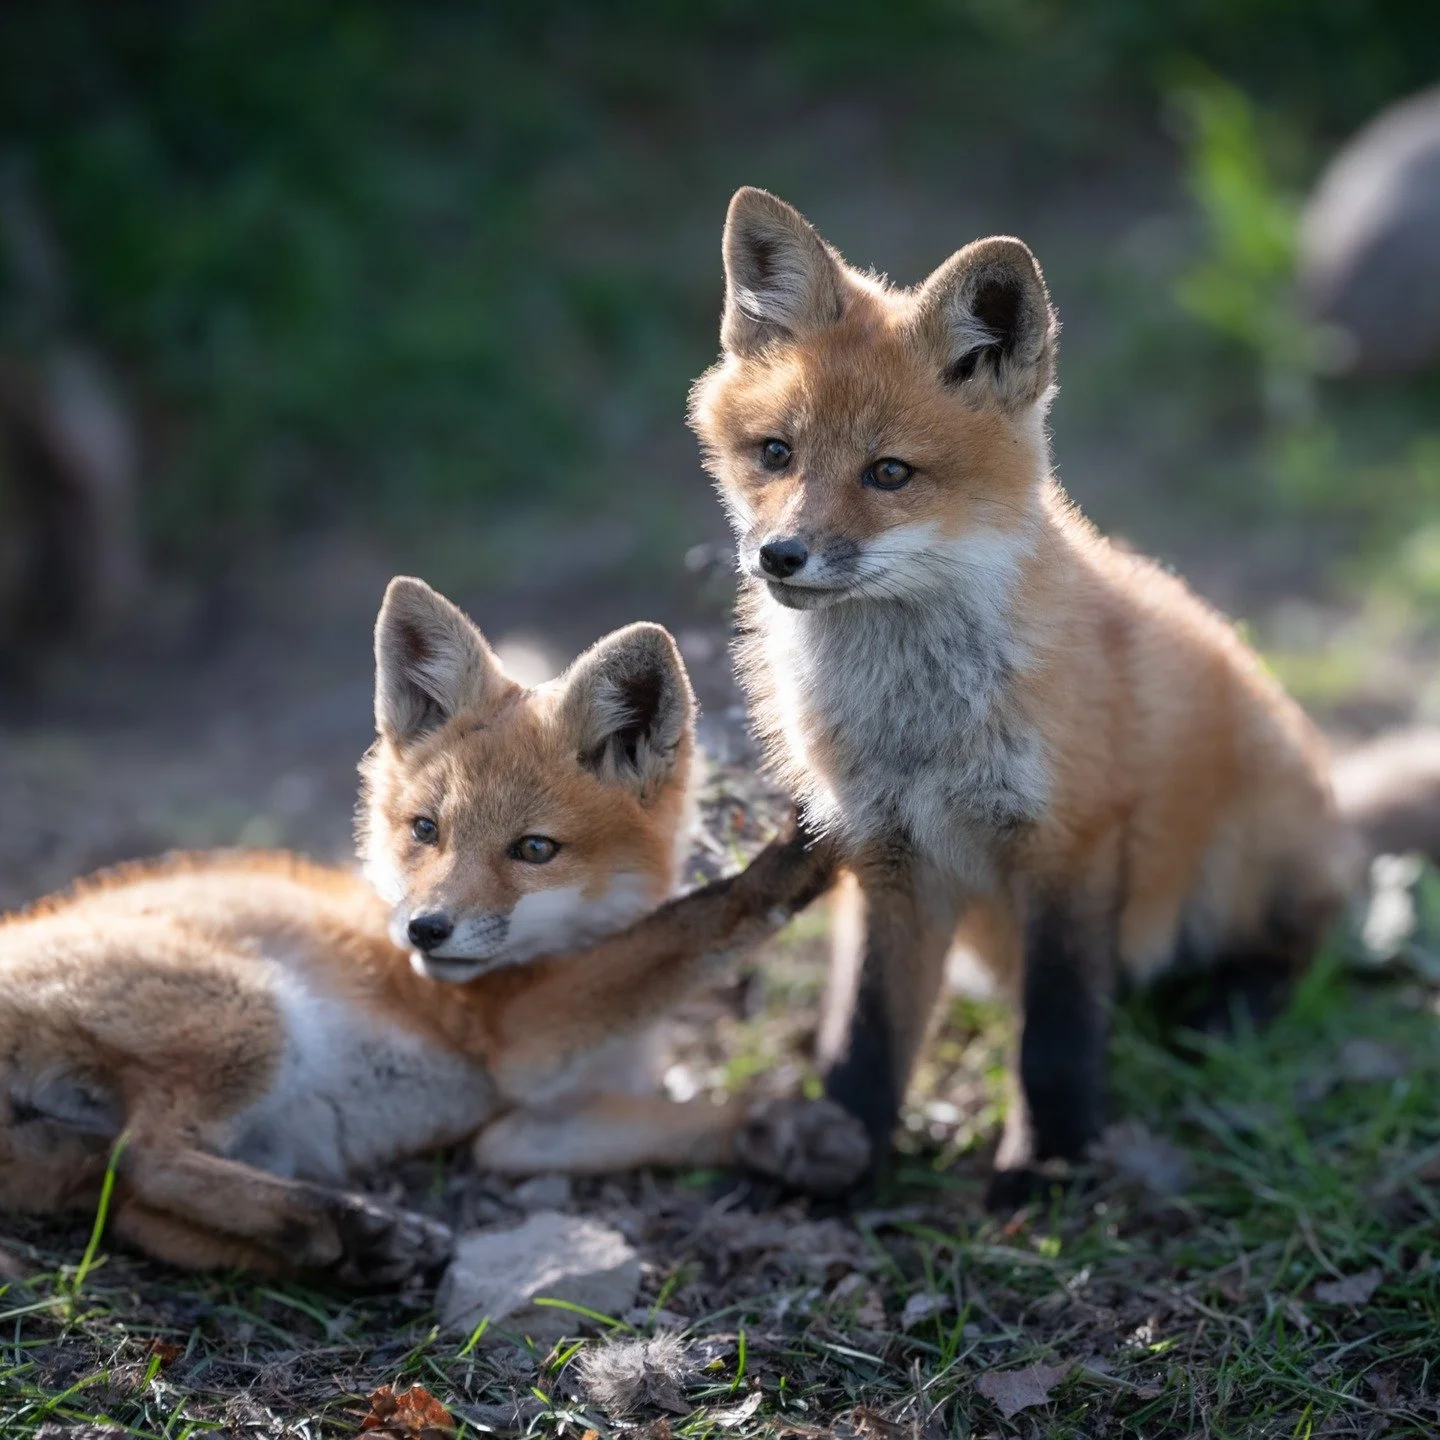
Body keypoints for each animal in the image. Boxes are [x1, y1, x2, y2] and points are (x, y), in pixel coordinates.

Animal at [0, 576, 863, 1278]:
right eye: (426, 830)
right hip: (248, 1019)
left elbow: (675, 1122)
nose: (423, 931)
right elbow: (695, 920)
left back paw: (349, 1249)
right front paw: (796, 855)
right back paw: (349, 1226)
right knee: (146, 1158)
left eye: (534, 850)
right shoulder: (518, 1035)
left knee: (131, 1205)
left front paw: (781, 1130)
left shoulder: (525, 1129)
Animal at [688, 186, 1437, 1207]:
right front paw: (845, 1143)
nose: (779, 556)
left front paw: (1046, 1164)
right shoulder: (883, 854)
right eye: (775, 454)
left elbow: (1055, 1036)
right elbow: (867, 1030)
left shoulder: (1071, 839)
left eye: (890, 473)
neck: (918, 729)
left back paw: (1228, 1007)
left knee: (1307, 937)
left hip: (1248, 846)